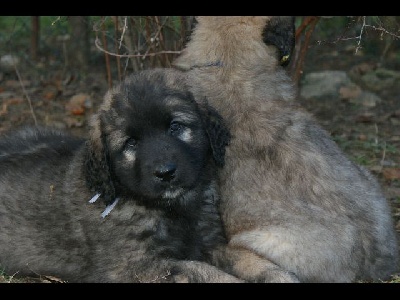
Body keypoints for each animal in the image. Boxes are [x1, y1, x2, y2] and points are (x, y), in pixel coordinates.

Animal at [0, 68, 244, 284]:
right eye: (131, 143)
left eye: (175, 127)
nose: (165, 173)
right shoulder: (131, 266)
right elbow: (199, 270)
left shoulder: (209, 242)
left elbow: (239, 258)